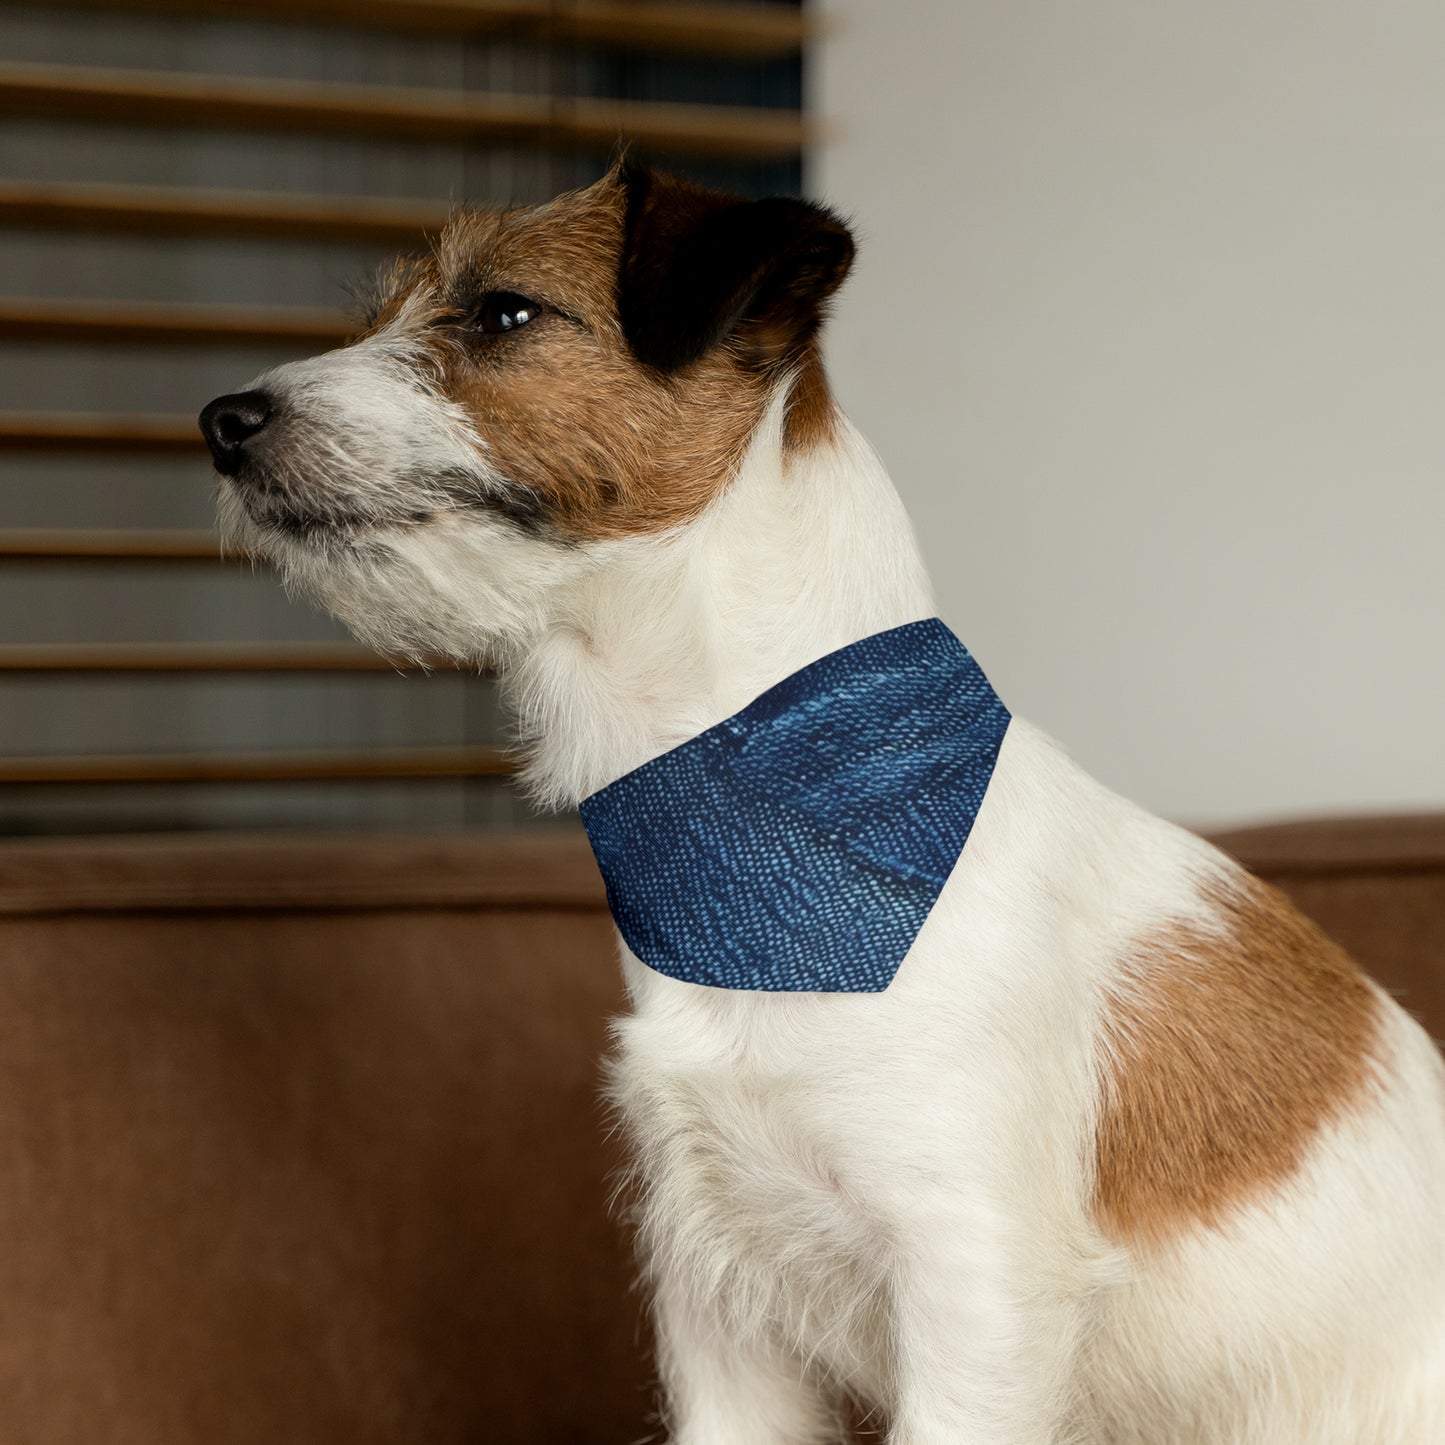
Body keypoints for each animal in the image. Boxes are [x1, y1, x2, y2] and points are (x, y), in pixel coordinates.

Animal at [195, 164, 1445, 1439]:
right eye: (382, 313)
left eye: (502, 312)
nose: (222, 421)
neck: (769, 824)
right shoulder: (717, 1302)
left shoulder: (972, 1289)